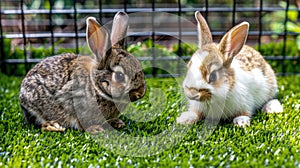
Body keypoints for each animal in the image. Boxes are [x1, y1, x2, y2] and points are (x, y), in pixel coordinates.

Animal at [18, 11, 146, 133]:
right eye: (119, 76)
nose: (141, 93)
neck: (97, 86)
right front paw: (94, 129)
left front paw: (118, 123)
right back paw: (52, 126)